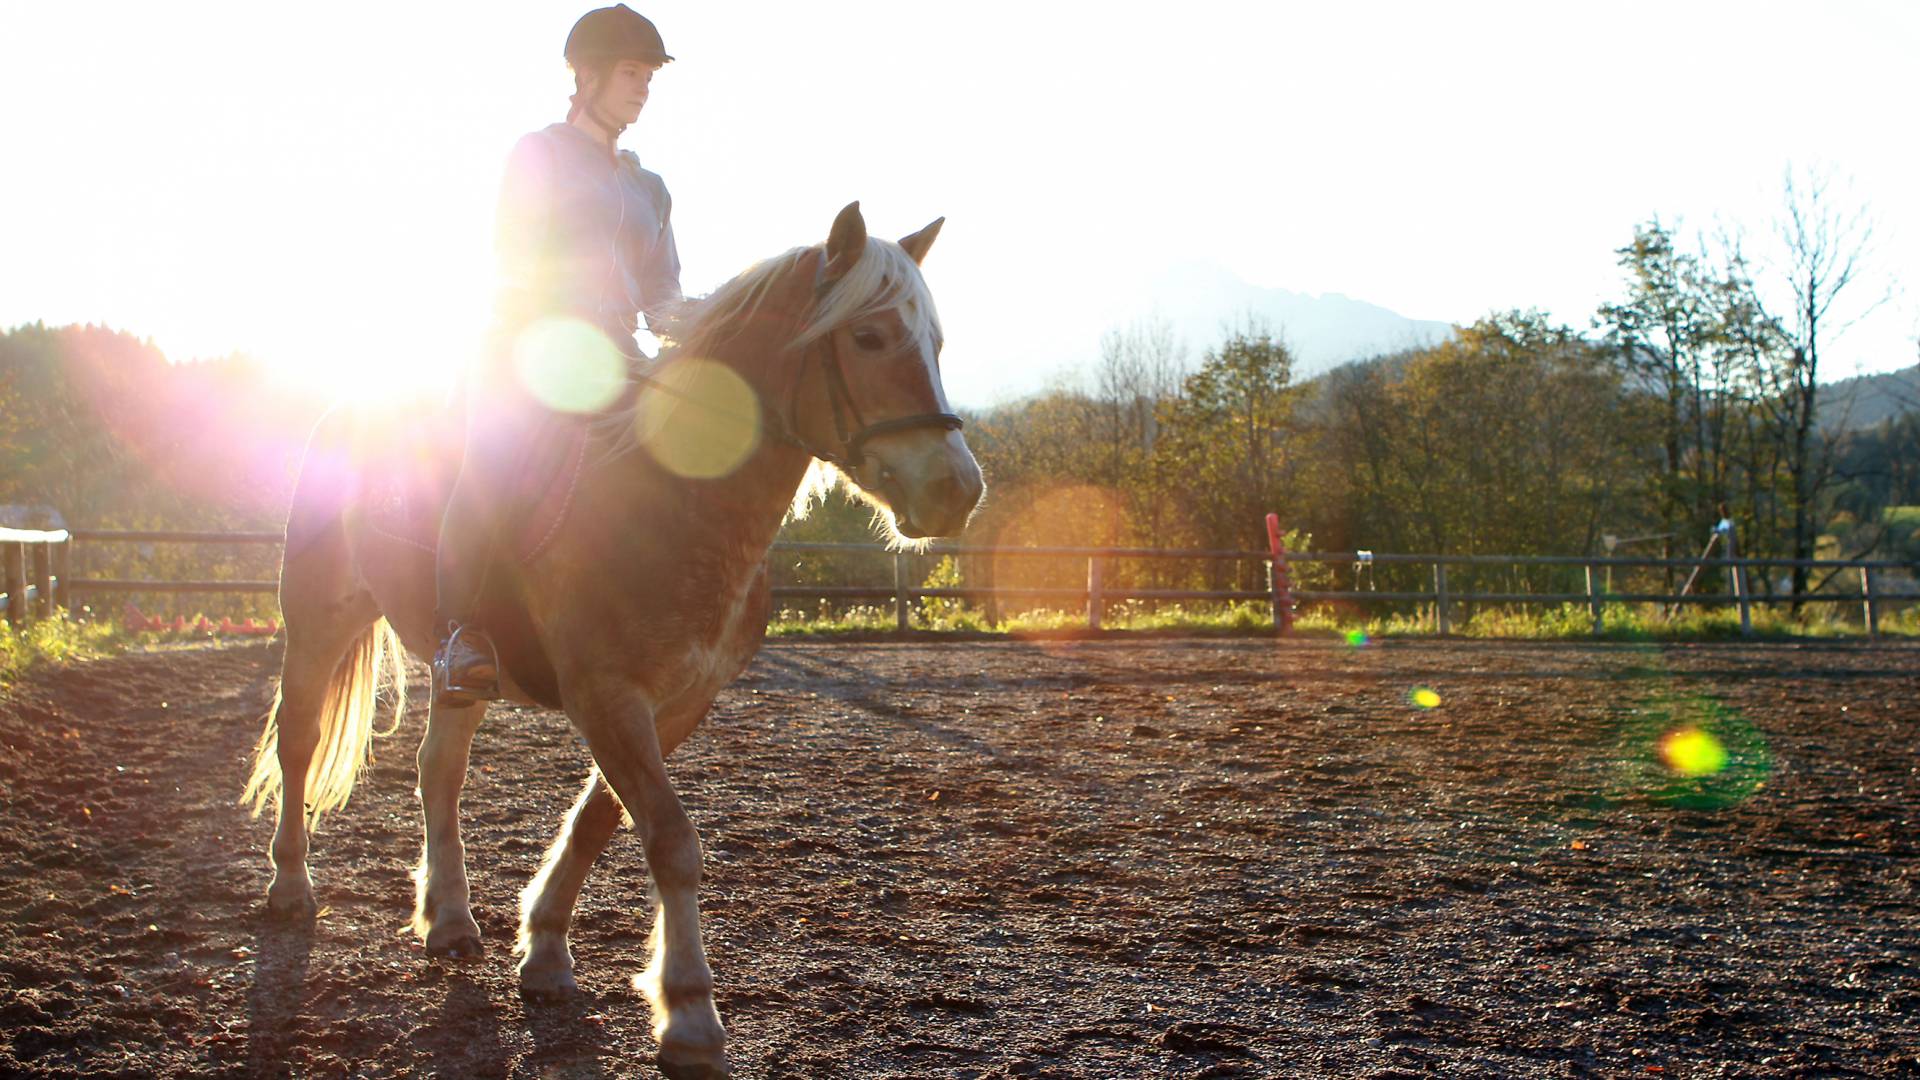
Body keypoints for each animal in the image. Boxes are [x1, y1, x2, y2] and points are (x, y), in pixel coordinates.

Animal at [240, 203, 983, 1076]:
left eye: (936, 344)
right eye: (868, 337)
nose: (958, 491)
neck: (670, 499)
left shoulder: (679, 700)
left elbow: (602, 820)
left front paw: (545, 951)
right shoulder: (606, 694)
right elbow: (669, 837)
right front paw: (690, 1014)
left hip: (458, 668)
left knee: (438, 773)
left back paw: (450, 921)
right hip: (317, 620)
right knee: (298, 742)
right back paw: (291, 890)